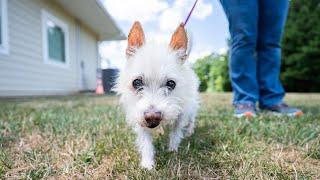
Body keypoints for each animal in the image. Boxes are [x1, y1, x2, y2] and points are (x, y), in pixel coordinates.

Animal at [115, 21, 199, 169]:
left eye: (171, 83)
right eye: (136, 82)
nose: (152, 117)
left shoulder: (181, 113)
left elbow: (176, 131)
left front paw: (172, 149)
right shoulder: (139, 116)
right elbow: (146, 142)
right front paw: (147, 163)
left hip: (192, 107)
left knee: (191, 119)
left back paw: (189, 131)